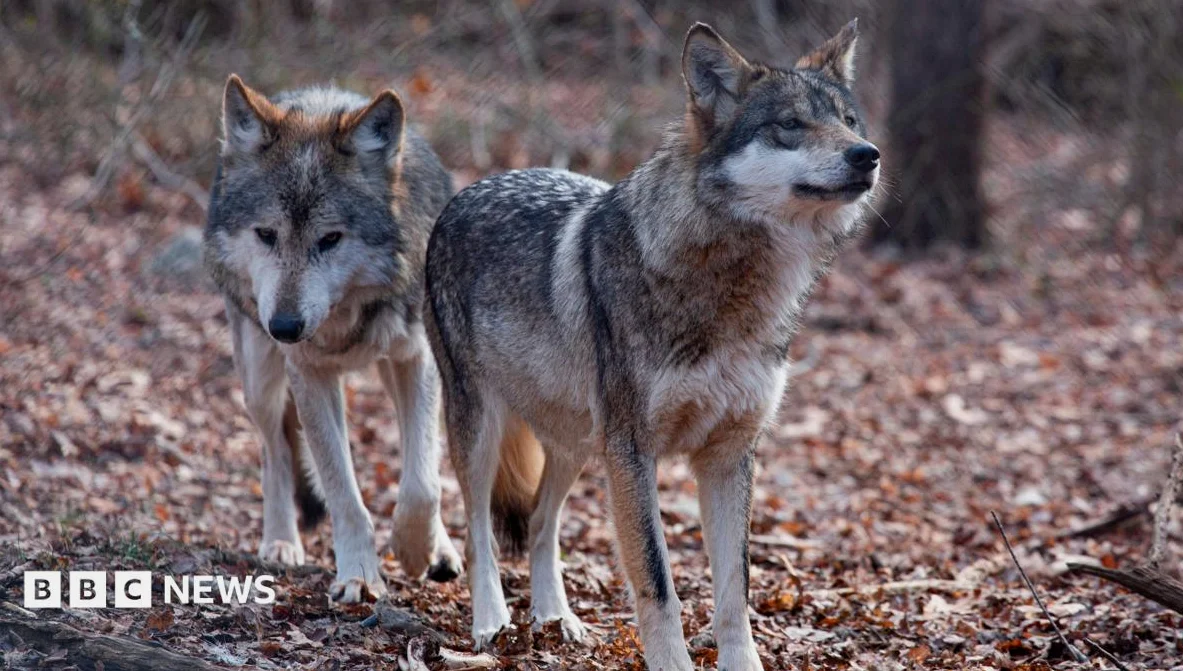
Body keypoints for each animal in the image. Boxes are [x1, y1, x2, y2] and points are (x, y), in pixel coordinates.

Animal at [204, 76, 463, 603]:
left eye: (330, 239)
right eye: (266, 234)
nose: (284, 327)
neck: (345, 317)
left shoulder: (418, 360)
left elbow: (422, 483)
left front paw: (414, 550)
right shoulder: (310, 373)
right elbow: (343, 491)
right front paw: (360, 574)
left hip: (393, 370)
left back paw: (441, 549)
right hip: (260, 379)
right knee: (275, 454)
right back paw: (281, 541)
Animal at [424, 21, 878, 670]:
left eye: (849, 120)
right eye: (790, 125)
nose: (868, 155)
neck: (732, 290)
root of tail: (470, 188)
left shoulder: (729, 455)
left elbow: (736, 591)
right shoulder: (634, 452)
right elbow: (659, 583)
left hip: (578, 444)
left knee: (539, 523)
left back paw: (555, 618)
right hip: (485, 430)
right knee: (478, 530)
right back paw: (491, 623)